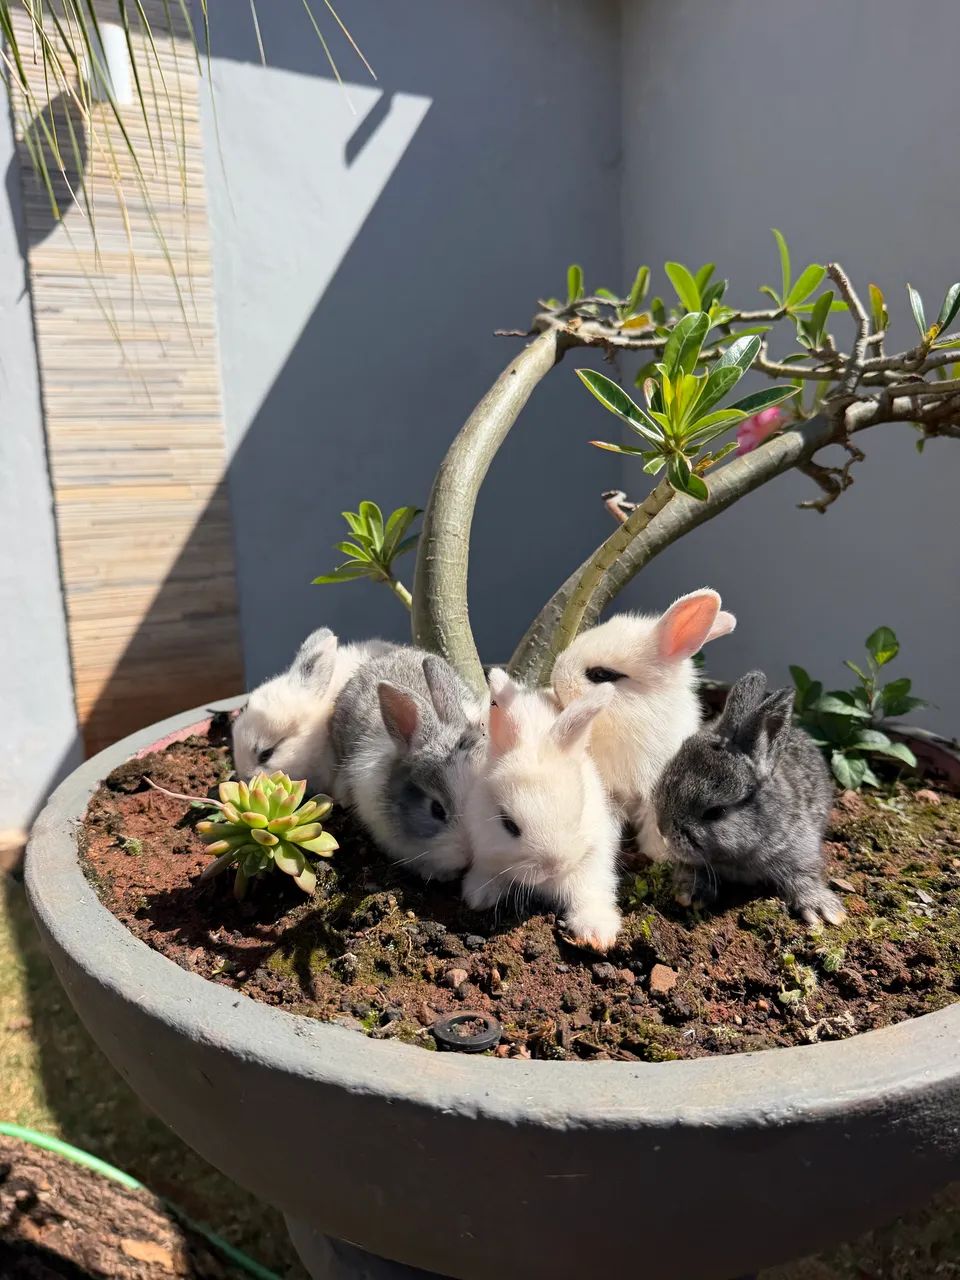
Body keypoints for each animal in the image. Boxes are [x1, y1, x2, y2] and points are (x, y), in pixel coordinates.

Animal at [462, 668, 623, 951]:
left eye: (578, 816)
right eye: (509, 825)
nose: (553, 867)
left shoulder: (594, 857)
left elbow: (590, 890)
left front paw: (597, 933)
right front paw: (478, 896)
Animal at [653, 670, 845, 926]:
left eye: (716, 812)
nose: (662, 830)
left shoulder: (799, 849)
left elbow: (805, 875)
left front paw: (822, 909)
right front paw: (689, 893)